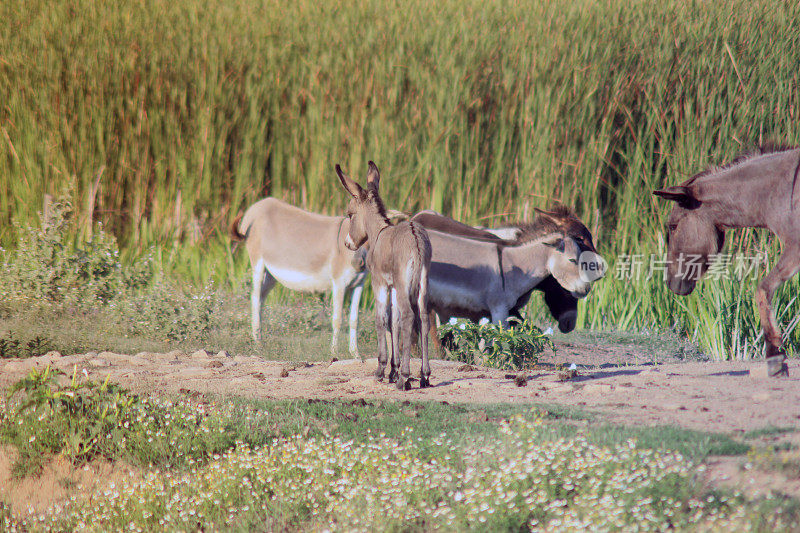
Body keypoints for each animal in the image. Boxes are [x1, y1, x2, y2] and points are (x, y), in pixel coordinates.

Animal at [334, 160, 432, 388]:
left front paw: (382, 370)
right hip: (422, 283)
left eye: (350, 214)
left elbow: (381, 319)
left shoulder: (379, 283)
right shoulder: (394, 286)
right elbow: (393, 322)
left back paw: (405, 378)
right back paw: (424, 375)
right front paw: (392, 371)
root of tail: (415, 239)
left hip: (405, 285)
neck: (378, 233)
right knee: (423, 318)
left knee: (408, 316)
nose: (348, 244)